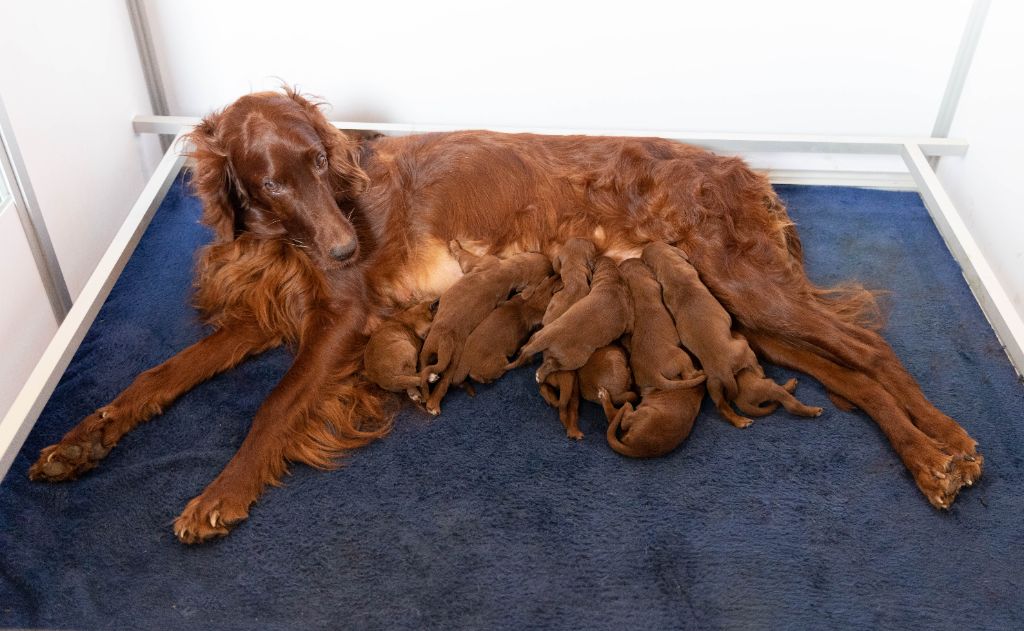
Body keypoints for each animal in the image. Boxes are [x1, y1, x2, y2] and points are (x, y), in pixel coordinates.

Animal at [419, 242, 552, 413]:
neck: (511, 272)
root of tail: (445, 342)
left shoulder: (479, 262)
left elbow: (464, 256)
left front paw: (454, 244)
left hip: (443, 353)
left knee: (439, 379)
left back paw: (432, 403)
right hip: (433, 351)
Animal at [505, 256, 626, 385]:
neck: (611, 280)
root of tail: (549, 337)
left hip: (540, 334)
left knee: (531, 345)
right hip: (575, 360)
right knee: (553, 365)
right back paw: (540, 375)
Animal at [614, 259, 704, 391]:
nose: (638, 258)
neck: (636, 282)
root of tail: (652, 374)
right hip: (682, 356)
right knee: (688, 375)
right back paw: (699, 373)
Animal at [638, 241, 823, 428]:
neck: (671, 270)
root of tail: (724, 369)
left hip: (713, 385)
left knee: (722, 407)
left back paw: (741, 421)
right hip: (745, 350)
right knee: (778, 392)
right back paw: (806, 404)